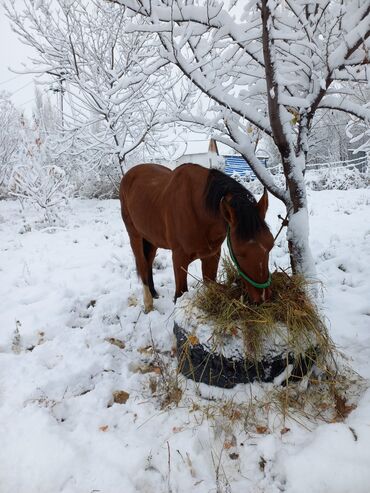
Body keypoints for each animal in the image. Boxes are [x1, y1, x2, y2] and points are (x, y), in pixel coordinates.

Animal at [120, 164, 274, 312]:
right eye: (239, 253)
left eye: (270, 246)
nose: (262, 298)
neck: (197, 209)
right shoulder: (179, 258)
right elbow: (180, 294)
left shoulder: (212, 255)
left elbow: (210, 283)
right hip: (135, 235)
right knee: (142, 264)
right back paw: (148, 303)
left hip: (151, 239)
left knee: (149, 261)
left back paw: (154, 293)